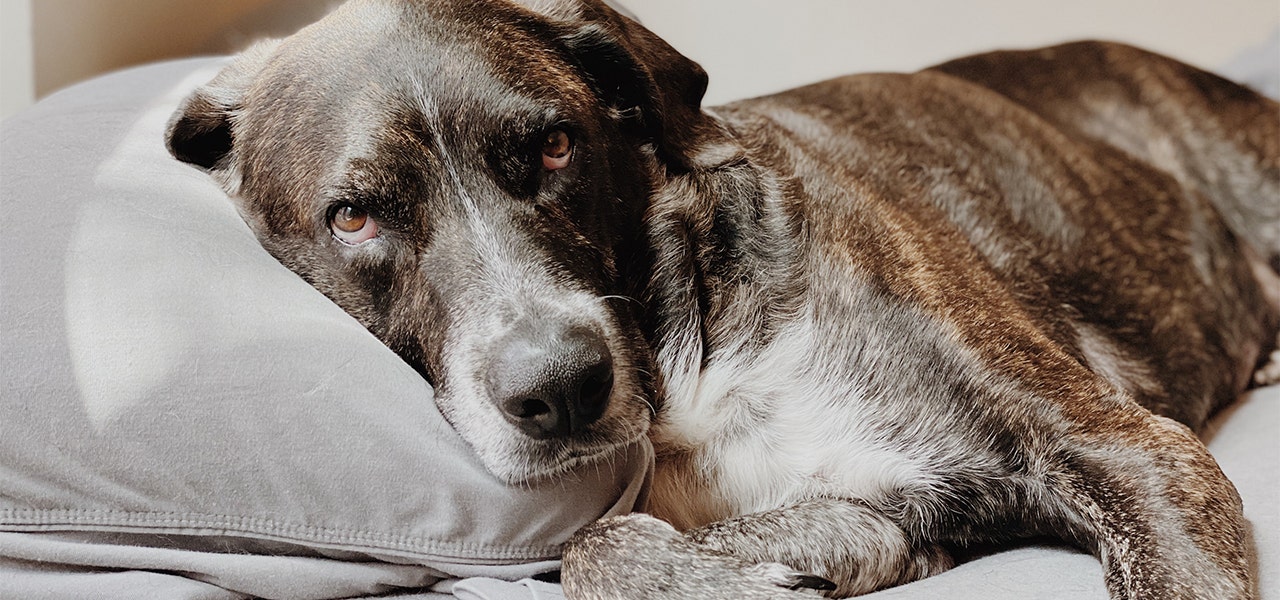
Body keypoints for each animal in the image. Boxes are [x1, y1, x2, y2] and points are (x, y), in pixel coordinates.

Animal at [167, 1, 1280, 598]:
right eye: (353, 217)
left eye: (555, 145)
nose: (560, 389)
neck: (689, 360)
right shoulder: (897, 515)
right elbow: (593, 544)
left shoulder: (1130, 452)